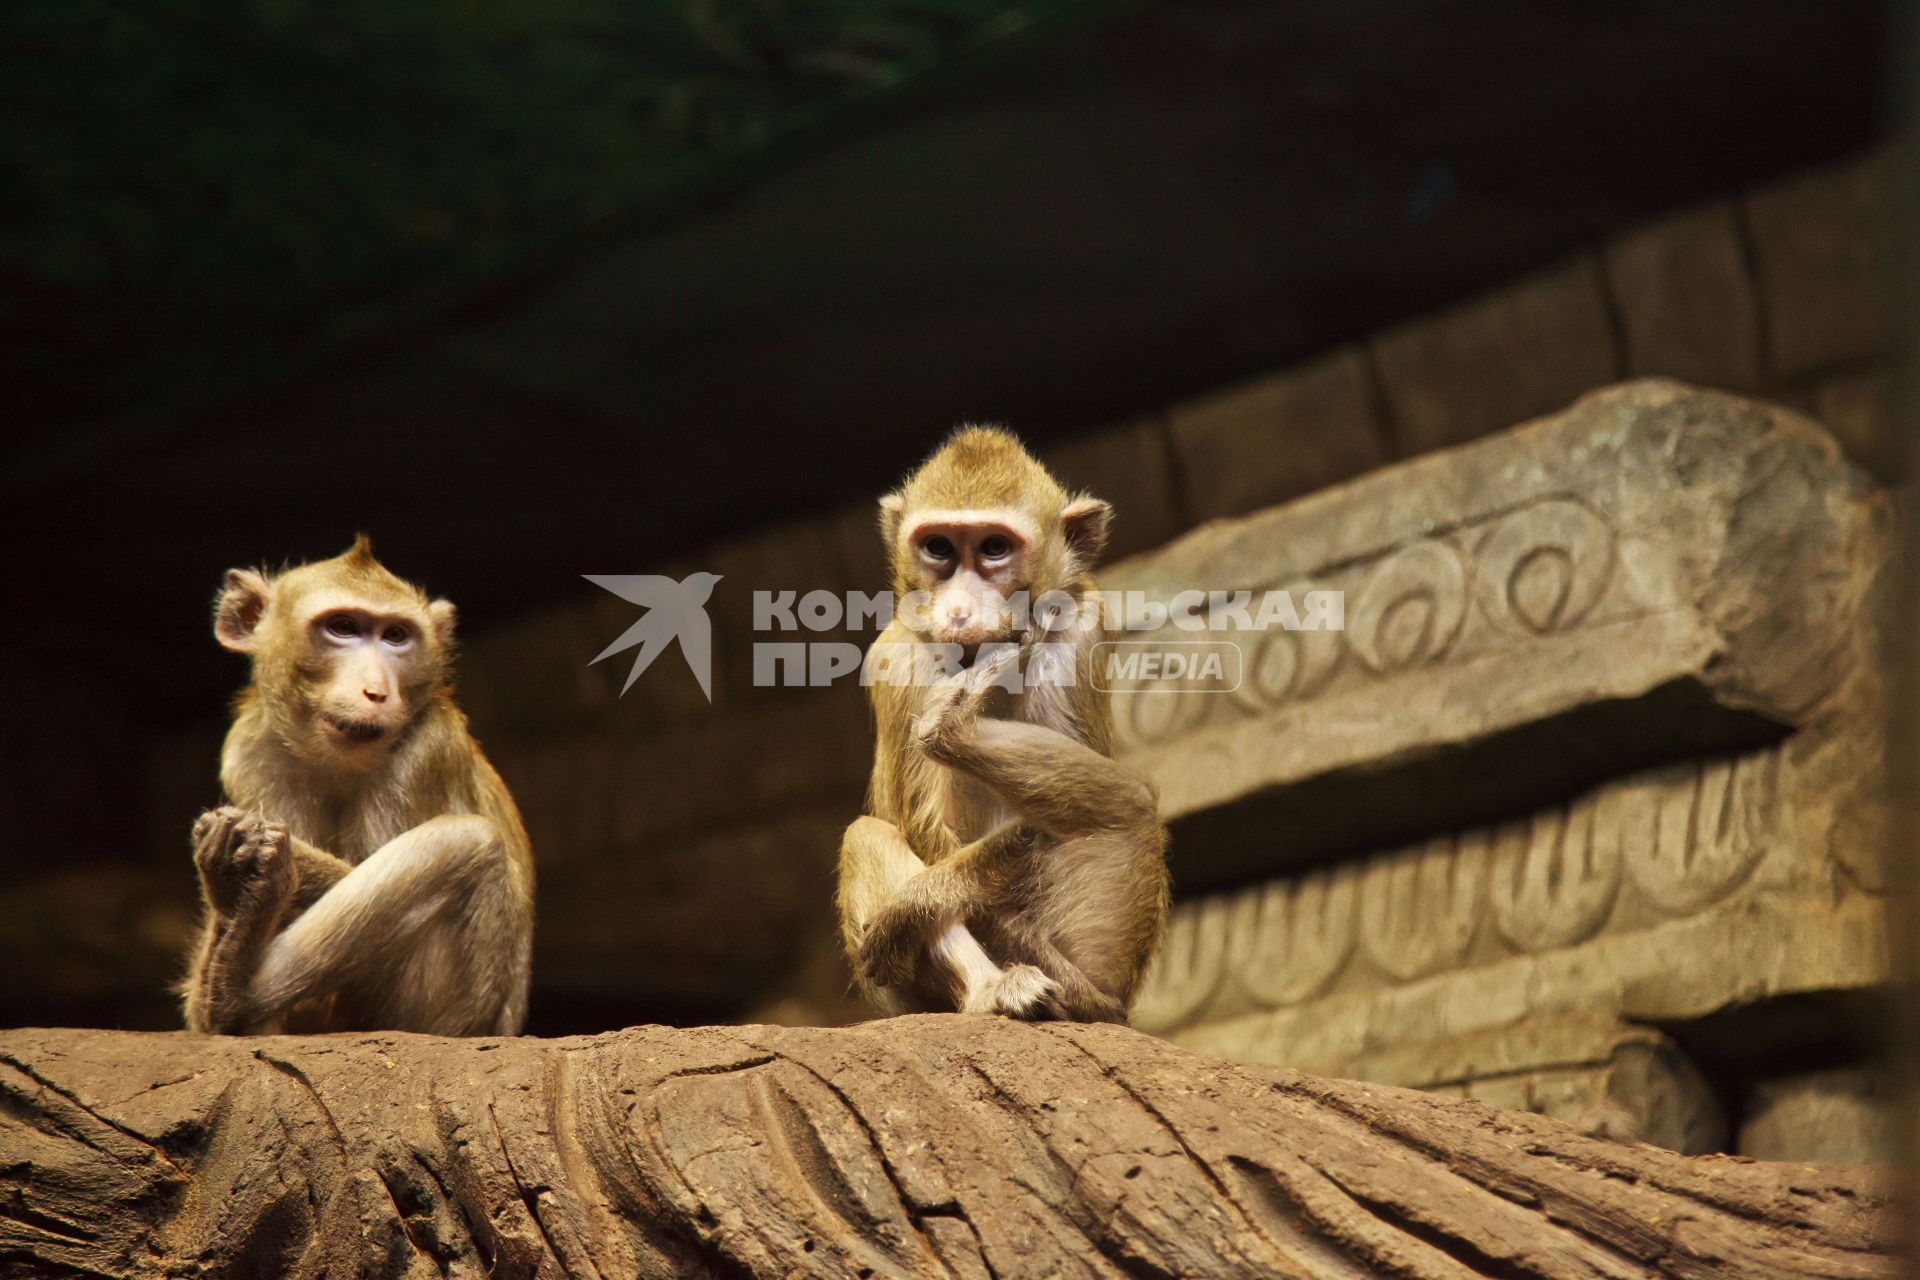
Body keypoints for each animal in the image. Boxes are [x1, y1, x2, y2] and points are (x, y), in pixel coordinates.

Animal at [180, 537, 533, 1036]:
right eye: (343, 628)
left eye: (396, 636)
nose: (376, 692)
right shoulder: (248, 752)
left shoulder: (424, 753)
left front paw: (252, 849)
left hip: (455, 1013)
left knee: (466, 840)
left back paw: (233, 991)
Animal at [829, 426, 1159, 1028]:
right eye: (939, 548)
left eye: (994, 549)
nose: (959, 612)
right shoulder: (895, 660)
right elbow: (923, 827)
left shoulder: (1081, 628)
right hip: (901, 999)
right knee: (869, 835)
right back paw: (995, 989)